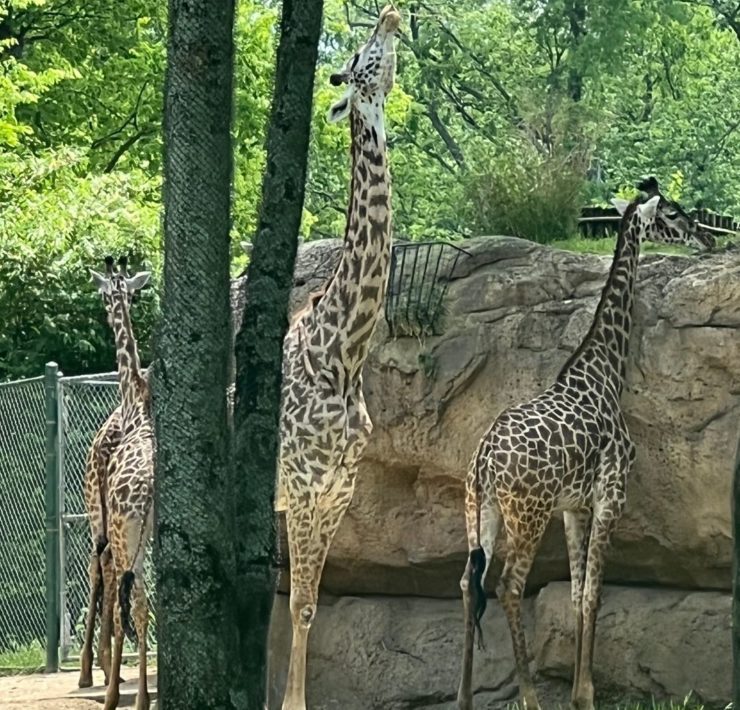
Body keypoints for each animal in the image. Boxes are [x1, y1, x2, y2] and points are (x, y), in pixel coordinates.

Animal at [456, 177, 714, 710]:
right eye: (673, 215)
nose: (707, 238)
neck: (603, 372)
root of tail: (485, 460)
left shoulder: (574, 506)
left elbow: (576, 592)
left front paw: (579, 688)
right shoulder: (610, 493)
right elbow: (594, 590)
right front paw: (585, 695)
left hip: (478, 509)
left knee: (470, 584)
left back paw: (464, 698)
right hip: (527, 513)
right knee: (508, 587)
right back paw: (530, 697)